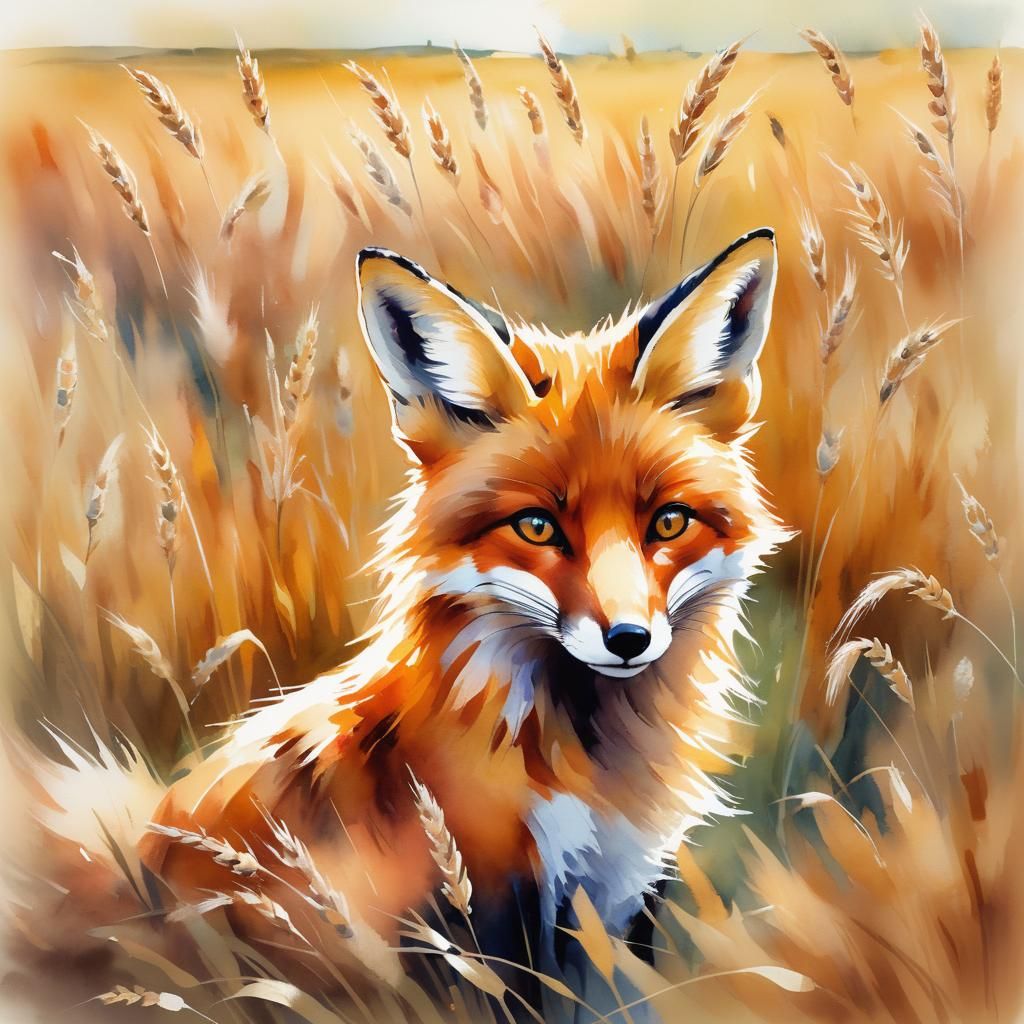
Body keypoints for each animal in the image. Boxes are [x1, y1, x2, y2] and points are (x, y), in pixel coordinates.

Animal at [33, 228, 786, 1017]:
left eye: (668, 521)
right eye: (537, 526)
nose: (629, 639)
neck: (584, 762)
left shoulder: (626, 890)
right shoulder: (486, 898)